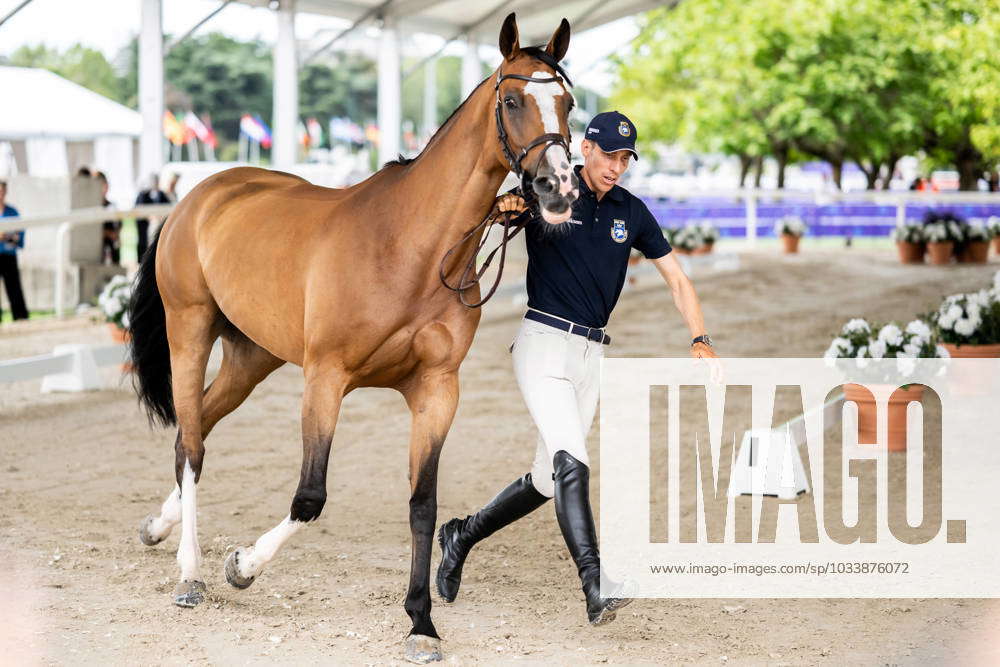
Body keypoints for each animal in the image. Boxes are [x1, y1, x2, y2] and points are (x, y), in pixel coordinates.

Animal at [128, 14, 580, 664]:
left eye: (568, 102)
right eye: (514, 100)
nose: (558, 189)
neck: (409, 246)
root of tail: (199, 195)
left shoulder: (436, 390)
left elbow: (422, 504)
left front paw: (421, 622)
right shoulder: (327, 378)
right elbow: (310, 495)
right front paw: (242, 566)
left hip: (252, 357)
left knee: (197, 428)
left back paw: (159, 526)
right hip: (189, 330)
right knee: (191, 445)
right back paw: (190, 574)